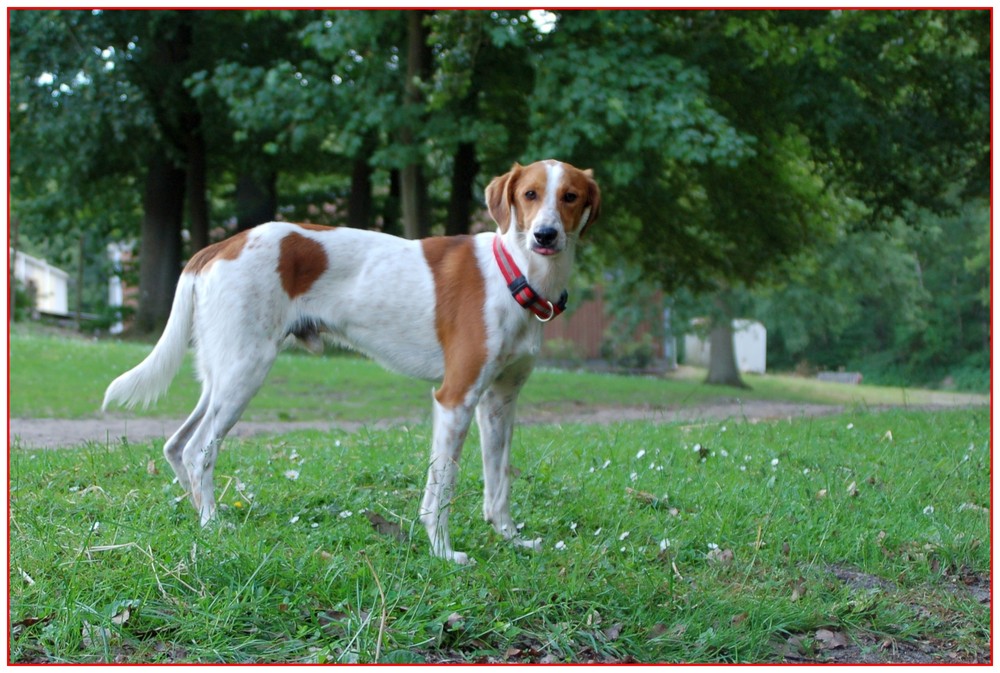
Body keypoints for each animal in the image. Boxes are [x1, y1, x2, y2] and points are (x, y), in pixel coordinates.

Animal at [102, 159, 600, 560]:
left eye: (570, 196)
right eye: (529, 194)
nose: (545, 235)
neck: (515, 272)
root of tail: (221, 246)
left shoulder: (499, 401)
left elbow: (499, 485)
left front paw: (511, 539)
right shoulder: (454, 398)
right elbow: (441, 489)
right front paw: (443, 552)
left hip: (222, 374)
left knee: (176, 445)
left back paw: (200, 511)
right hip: (245, 370)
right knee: (198, 448)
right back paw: (212, 524)